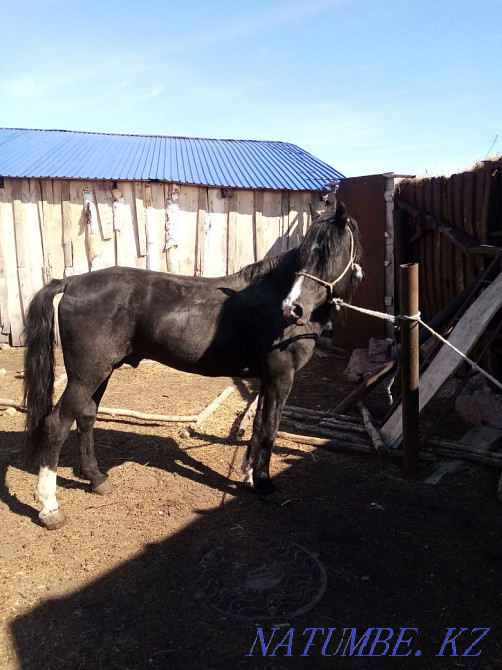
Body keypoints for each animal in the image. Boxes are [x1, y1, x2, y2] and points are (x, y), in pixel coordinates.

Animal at [23, 197, 362, 530]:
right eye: (308, 253)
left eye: (331, 252)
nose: (293, 307)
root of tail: (73, 282)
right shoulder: (281, 376)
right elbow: (269, 429)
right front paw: (265, 485)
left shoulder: (267, 378)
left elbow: (258, 425)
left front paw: (249, 476)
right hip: (86, 375)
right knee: (57, 424)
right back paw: (49, 509)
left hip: (101, 372)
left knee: (86, 417)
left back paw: (96, 480)